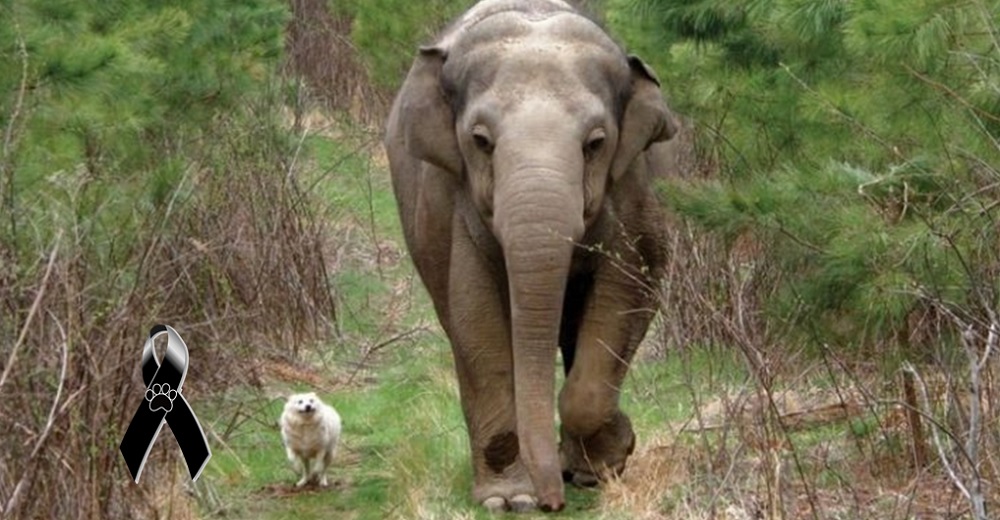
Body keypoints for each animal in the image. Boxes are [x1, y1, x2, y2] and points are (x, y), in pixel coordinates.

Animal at [382, 0, 680, 512]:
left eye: (596, 143)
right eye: (481, 140)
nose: (551, 503)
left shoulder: (633, 188)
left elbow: (630, 283)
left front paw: (609, 461)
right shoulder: (453, 200)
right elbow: (476, 319)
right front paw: (507, 501)